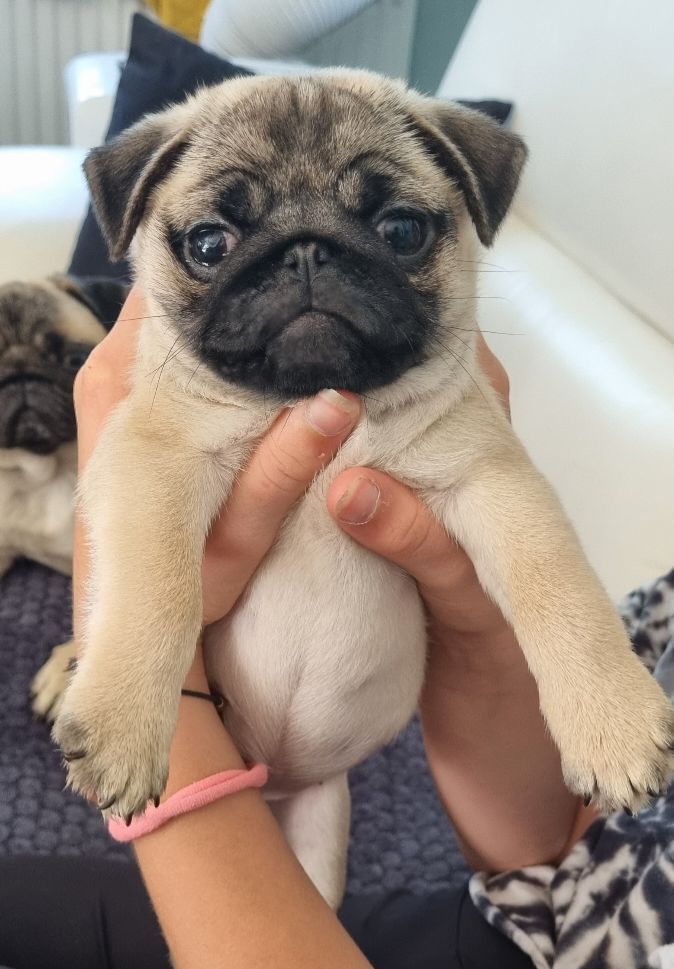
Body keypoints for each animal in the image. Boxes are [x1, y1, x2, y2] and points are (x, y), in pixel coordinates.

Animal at [49, 70, 673, 908]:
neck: (321, 405)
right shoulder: (156, 459)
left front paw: (614, 720)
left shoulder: (494, 477)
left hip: (320, 833)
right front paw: (121, 721)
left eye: (401, 230)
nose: (306, 251)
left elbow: (559, 588)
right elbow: (159, 587)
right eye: (210, 243)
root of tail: (274, 778)